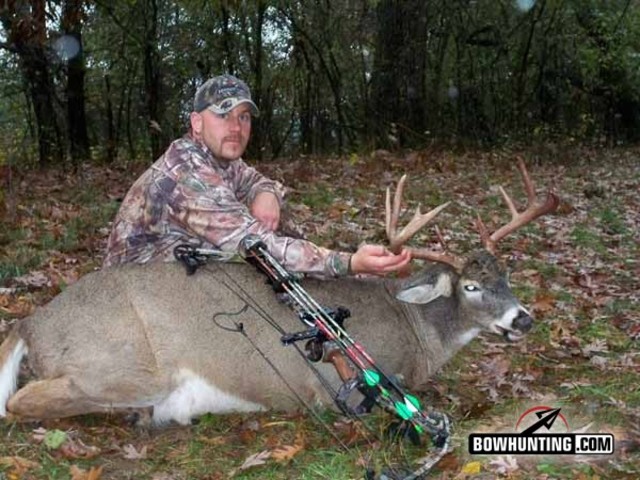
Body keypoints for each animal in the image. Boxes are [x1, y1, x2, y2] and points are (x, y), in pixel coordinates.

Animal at [0, 160, 558, 426]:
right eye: (471, 286)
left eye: (507, 276)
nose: (524, 318)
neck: (417, 331)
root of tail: (29, 323)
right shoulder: (341, 386)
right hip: (126, 365)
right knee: (21, 401)